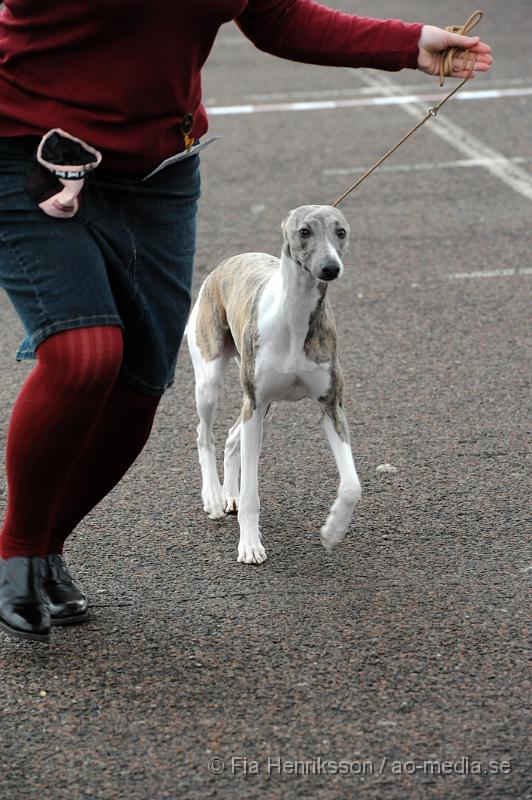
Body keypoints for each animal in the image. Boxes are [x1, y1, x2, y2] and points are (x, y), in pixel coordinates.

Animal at [186, 206, 362, 564]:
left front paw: (333, 530)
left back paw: (228, 495)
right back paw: (213, 497)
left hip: (259, 405)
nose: (330, 268)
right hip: (212, 381)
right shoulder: (255, 404)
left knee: (232, 436)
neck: (293, 315)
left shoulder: (331, 407)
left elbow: (352, 485)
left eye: (341, 231)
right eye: (305, 231)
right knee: (204, 433)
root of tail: (227, 262)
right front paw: (250, 545)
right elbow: (252, 496)